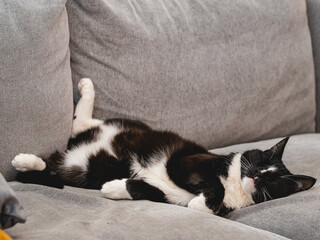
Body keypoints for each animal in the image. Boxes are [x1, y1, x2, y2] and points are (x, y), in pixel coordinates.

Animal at [11, 79, 316, 216]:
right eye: (261, 161)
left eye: (273, 179)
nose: (256, 175)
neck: (235, 188)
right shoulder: (187, 161)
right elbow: (212, 185)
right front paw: (203, 198)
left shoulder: (167, 196)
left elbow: (145, 188)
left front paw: (114, 188)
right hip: (125, 127)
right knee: (81, 124)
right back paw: (86, 89)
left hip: (85, 171)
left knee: (53, 167)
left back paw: (27, 161)